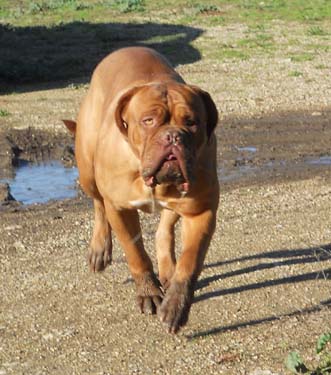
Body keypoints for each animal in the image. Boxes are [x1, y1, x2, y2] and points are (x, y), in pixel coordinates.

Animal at [64, 47, 220, 334]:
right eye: (148, 120)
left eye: (192, 122)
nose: (173, 136)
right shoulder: (120, 208)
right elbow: (135, 253)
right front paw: (148, 292)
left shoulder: (201, 211)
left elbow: (190, 262)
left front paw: (176, 305)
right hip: (88, 170)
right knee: (98, 204)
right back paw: (99, 249)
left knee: (165, 228)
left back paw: (167, 269)